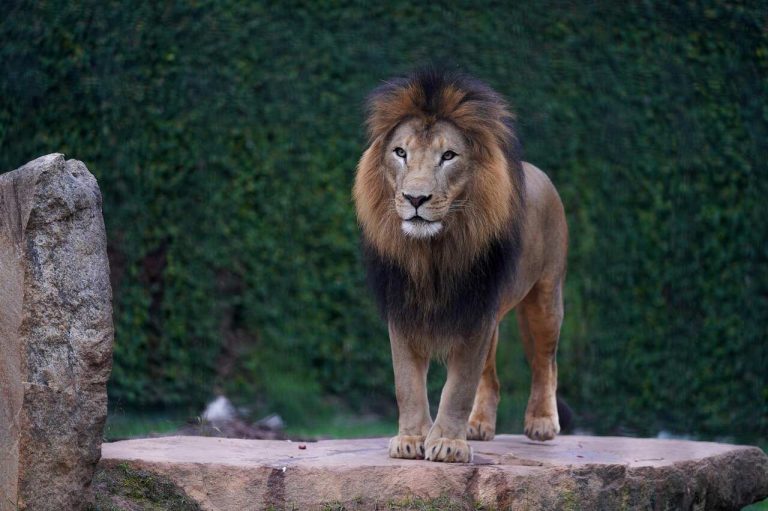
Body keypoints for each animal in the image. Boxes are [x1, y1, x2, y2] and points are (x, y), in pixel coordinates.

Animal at [353, 68, 568, 463]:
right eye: (400, 152)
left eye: (449, 156)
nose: (415, 198)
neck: (432, 253)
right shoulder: (404, 309)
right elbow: (407, 383)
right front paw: (411, 439)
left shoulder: (476, 313)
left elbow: (458, 387)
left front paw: (448, 444)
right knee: (492, 376)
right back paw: (478, 425)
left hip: (546, 296)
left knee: (546, 362)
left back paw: (542, 422)